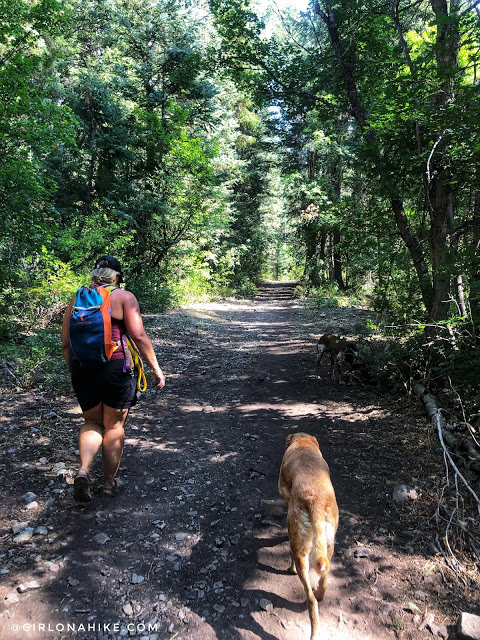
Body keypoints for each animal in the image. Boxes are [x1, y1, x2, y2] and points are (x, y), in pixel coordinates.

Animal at [278, 432, 338, 636]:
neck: (303, 443)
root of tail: (316, 501)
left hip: (300, 554)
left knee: (310, 600)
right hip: (329, 546)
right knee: (324, 581)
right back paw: (320, 593)